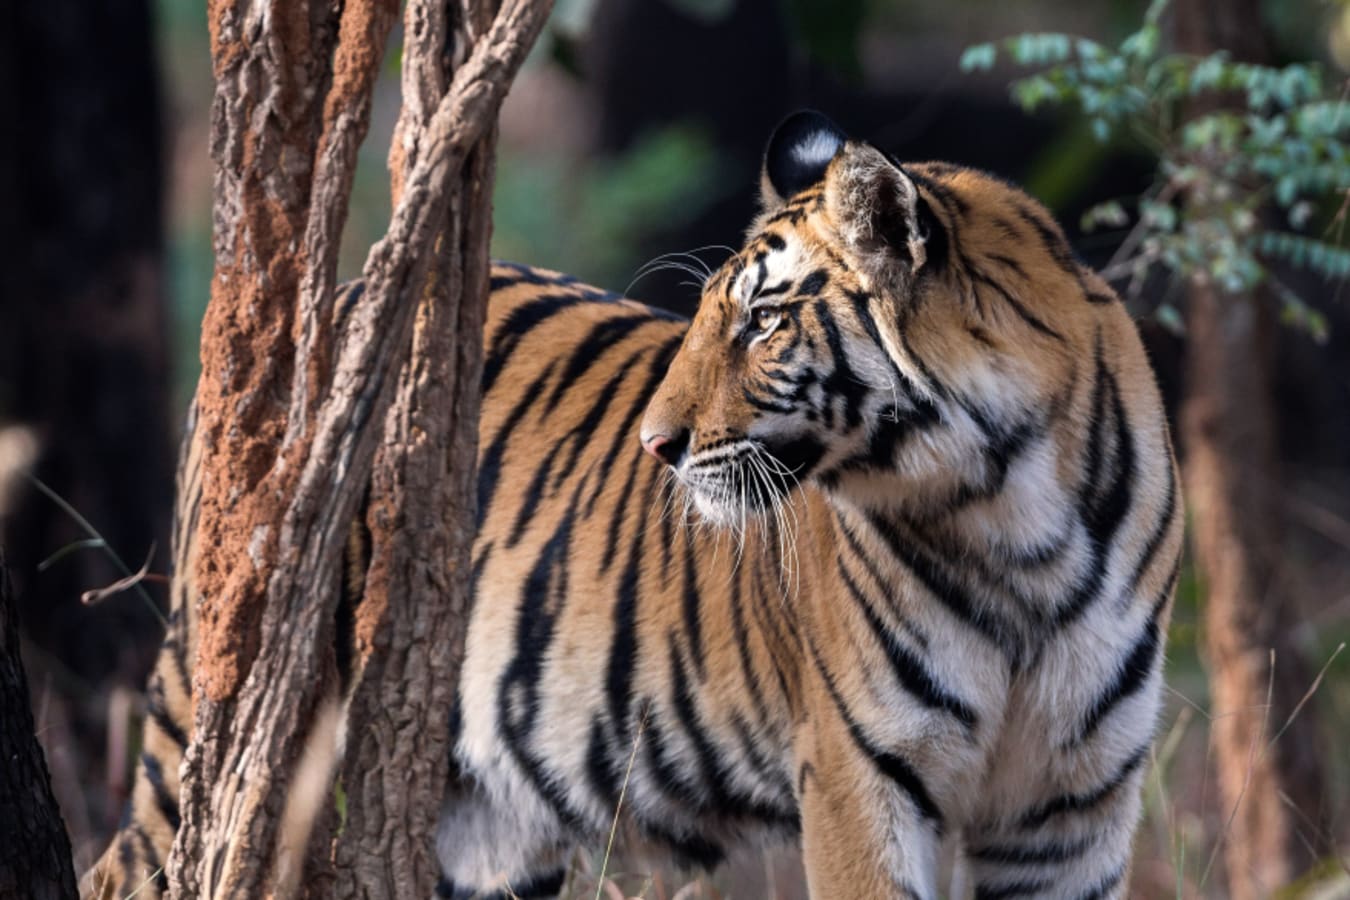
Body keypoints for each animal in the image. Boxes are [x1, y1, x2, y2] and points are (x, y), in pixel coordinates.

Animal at [85, 110, 1181, 900]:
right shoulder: (862, 778)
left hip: (487, 828)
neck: (1013, 520)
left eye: (764, 323)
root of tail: (338, 304)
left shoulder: (1073, 810)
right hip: (231, 725)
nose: (658, 446)